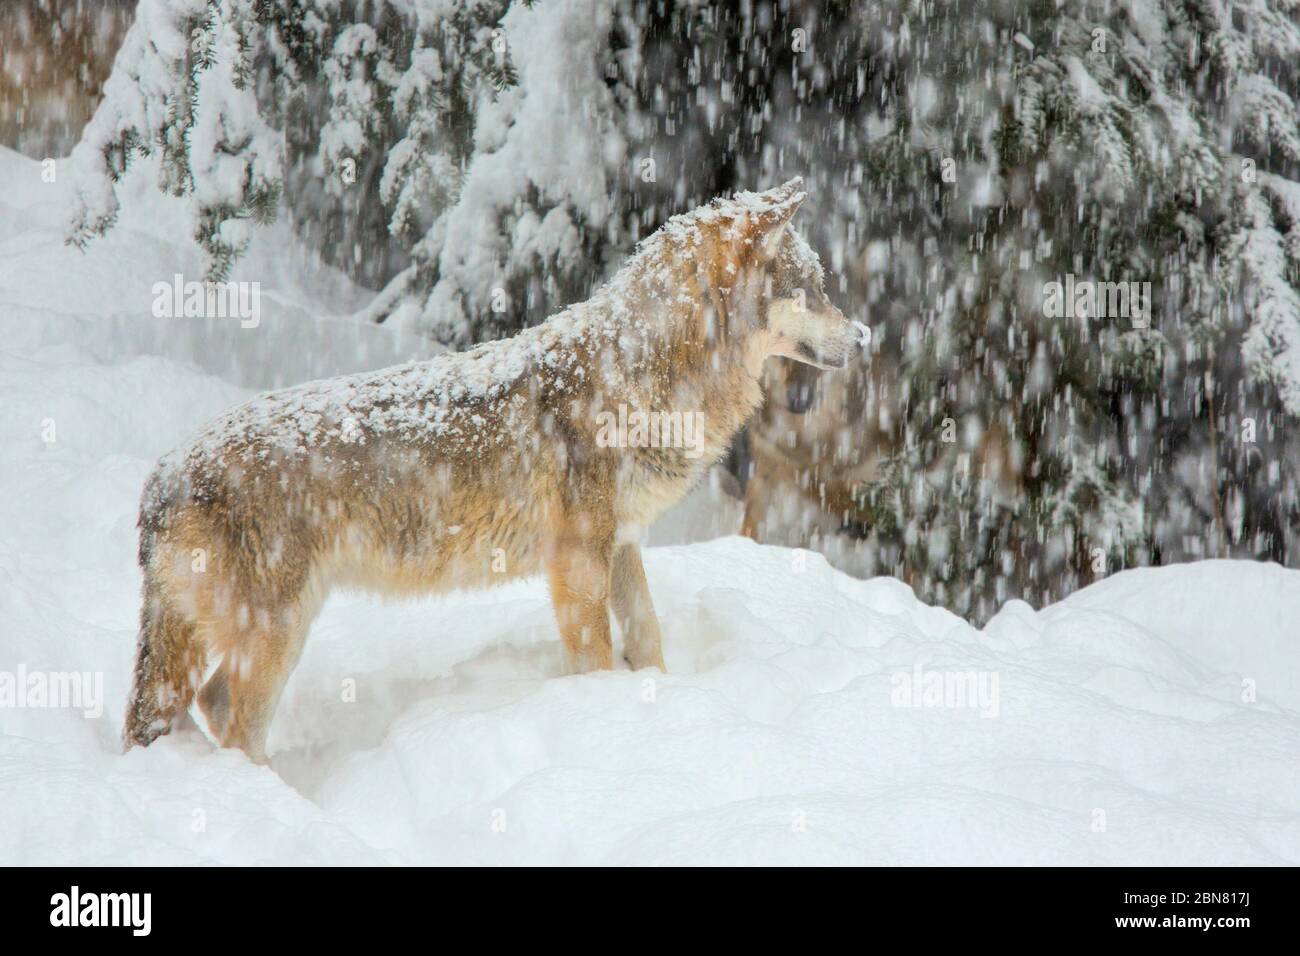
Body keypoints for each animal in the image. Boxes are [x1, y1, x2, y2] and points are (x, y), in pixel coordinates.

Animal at [124, 179, 863, 764]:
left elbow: (648, 639)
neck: (641, 376)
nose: (863, 338)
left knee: (210, 705)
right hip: (277, 632)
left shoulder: (623, 545)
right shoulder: (577, 563)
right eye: (812, 290)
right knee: (233, 725)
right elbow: (596, 659)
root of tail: (159, 482)